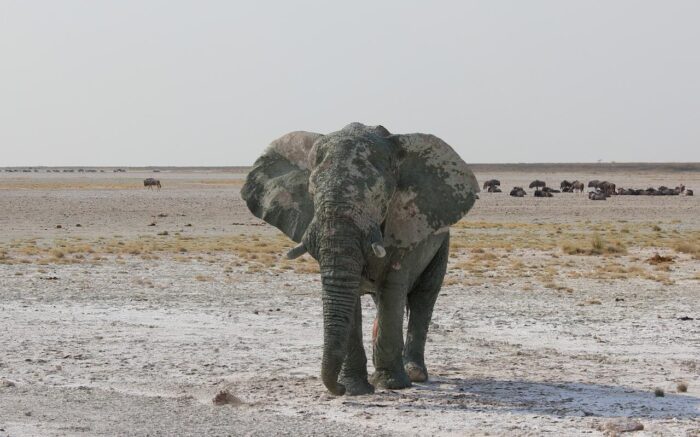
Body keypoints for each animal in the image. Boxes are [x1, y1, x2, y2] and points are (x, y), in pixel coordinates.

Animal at [239, 122, 476, 396]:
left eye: (379, 197)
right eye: (311, 191)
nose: (338, 388)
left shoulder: (404, 224)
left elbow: (393, 288)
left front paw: (390, 385)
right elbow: (349, 295)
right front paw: (355, 389)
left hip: (441, 241)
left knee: (423, 298)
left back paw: (415, 373)